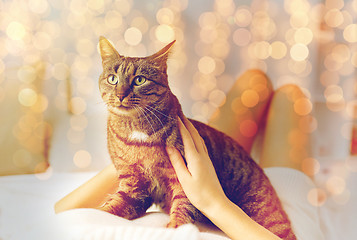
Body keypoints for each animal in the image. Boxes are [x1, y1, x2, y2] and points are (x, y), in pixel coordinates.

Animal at [96, 36, 294, 239]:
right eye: (113, 79)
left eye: (139, 80)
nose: (120, 95)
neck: (137, 132)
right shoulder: (133, 185)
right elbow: (111, 207)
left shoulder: (183, 179)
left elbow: (183, 205)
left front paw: (176, 227)